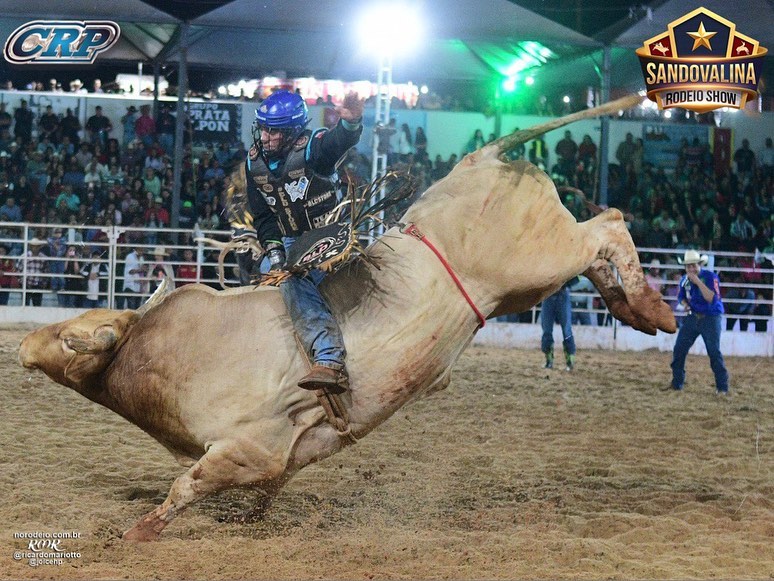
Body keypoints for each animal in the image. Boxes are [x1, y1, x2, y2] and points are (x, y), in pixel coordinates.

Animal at [16, 95, 672, 540]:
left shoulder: (248, 446)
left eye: (72, 337)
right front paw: (252, 518)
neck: (156, 353)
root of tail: (480, 159)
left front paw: (139, 532)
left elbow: (187, 485)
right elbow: (267, 486)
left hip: (537, 258)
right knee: (602, 246)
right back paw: (634, 306)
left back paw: (654, 309)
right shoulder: (283, 455)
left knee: (609, 225)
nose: (22, 346)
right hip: (526, 284)